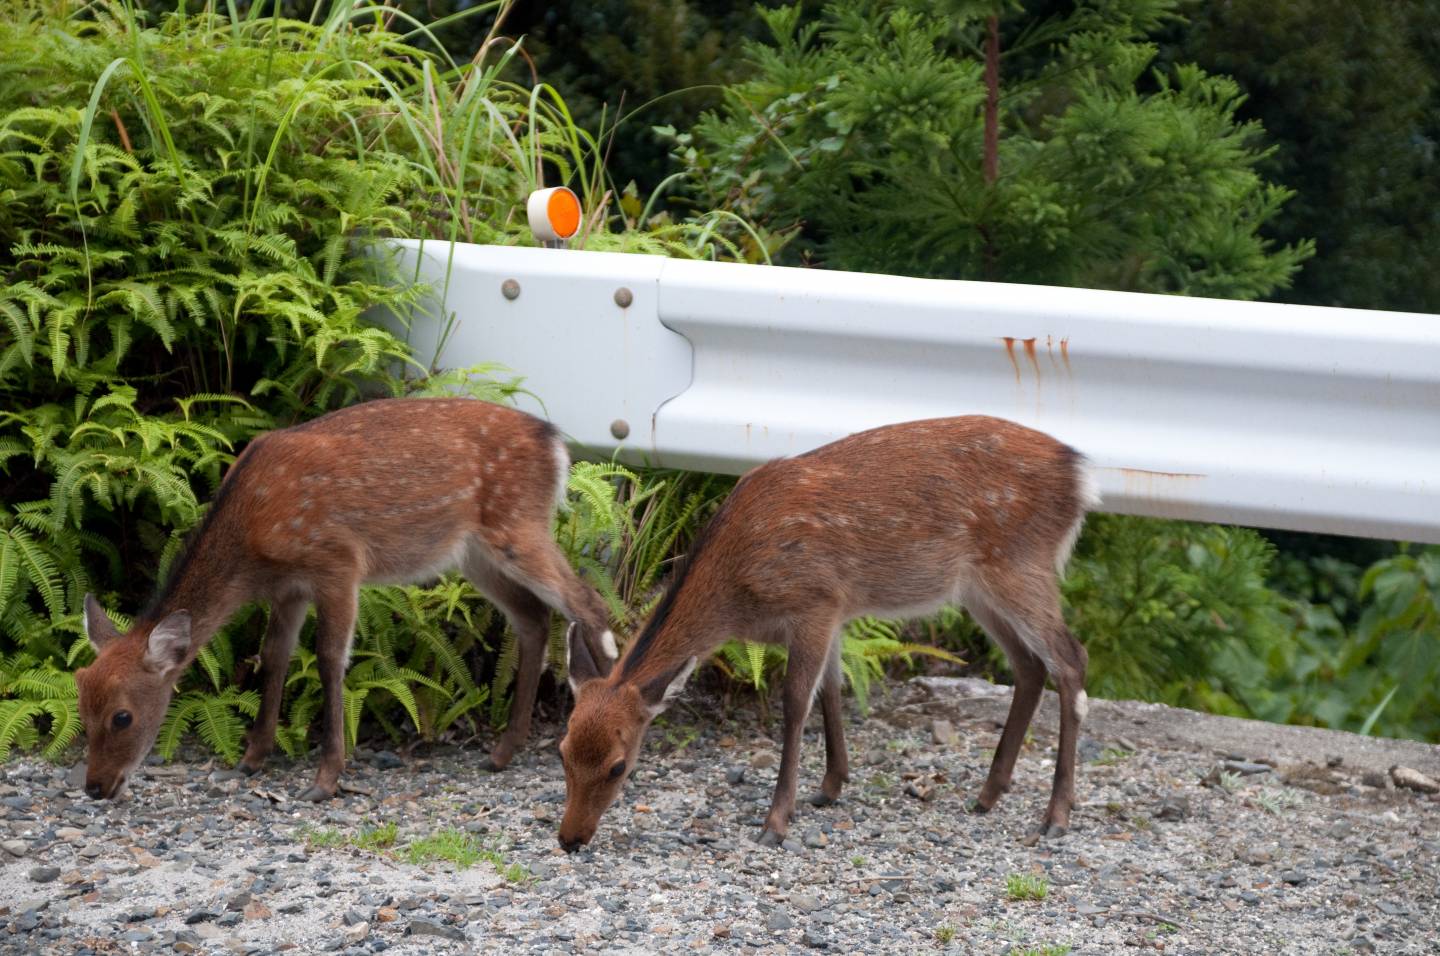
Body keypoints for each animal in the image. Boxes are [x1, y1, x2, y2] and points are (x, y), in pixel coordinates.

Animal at [77, 394, 619, 800]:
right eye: (82, 709)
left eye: (122, 716)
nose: (96, 787)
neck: (252, 541)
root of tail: (557, 444)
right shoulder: (289, 588)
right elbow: (274, 656)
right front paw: (252, 759)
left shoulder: (336, 561)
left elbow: (328, 658)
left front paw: (325, 779)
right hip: (474, 553)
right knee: (534, 617)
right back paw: (503, 752)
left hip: (517, 526)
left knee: (590, 604)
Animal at [555, 414, 1094, 846]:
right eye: (562, 751)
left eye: (618, 765)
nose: (570, 839)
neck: (737, 593)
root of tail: (1080, 475)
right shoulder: (834, 613)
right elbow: (831, 689)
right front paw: (829, 787)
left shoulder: (815, 600)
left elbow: (797, 702)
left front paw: (775, 822)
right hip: (980, 589)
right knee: (1029, 666)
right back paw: (987, 795)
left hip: (1020, 565)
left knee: (1071, 659)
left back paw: (1055, 816)